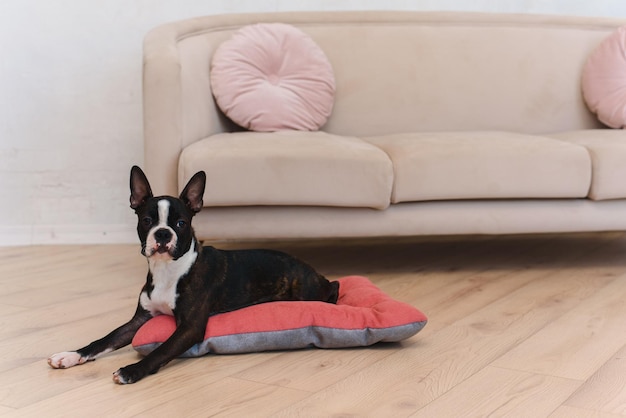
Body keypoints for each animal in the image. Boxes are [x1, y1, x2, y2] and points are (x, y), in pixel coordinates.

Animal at [47, 165, 342, 384]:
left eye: (181, 223)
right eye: (146, 221)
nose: (163, 234)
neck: (168, 270)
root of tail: (310, 269)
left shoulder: (190, 327)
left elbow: (161, 349)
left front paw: (132, 370)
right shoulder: (139, 319)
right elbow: (105, 339)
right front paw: (71, 355)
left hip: (309, 291)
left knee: (336, 288)